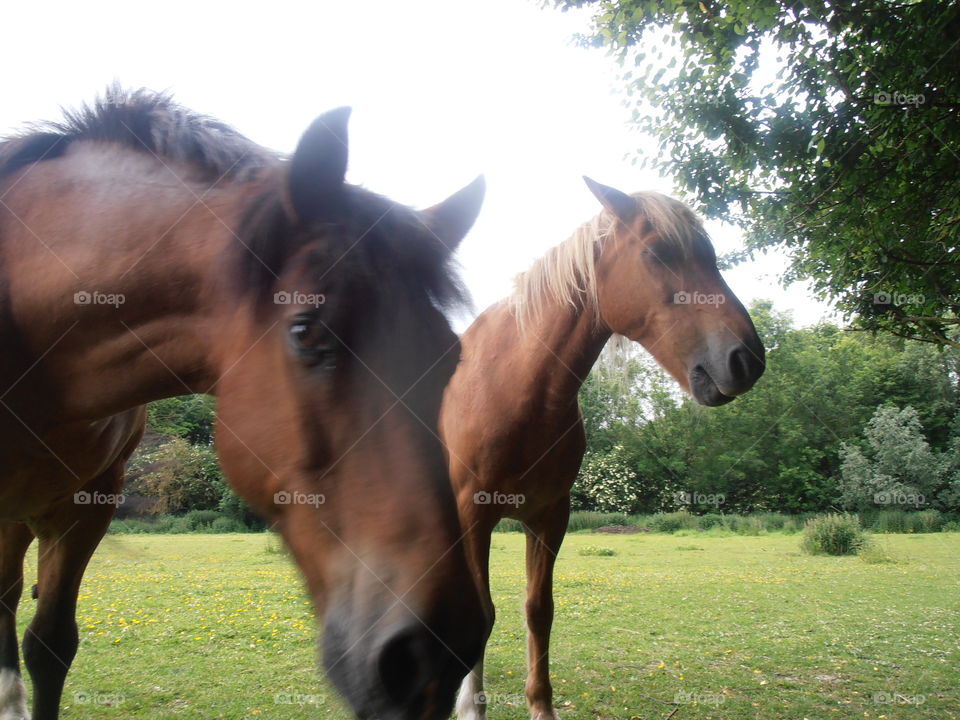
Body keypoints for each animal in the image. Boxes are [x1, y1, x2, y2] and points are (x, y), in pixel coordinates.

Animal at [442, 176, 764, 720]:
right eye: (657, 253)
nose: (747, 360)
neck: (513, 387)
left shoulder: (549, 517)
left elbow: (538, 610)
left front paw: (540, 707)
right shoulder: (473, 515)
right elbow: (480, 613)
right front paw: (470, 706)